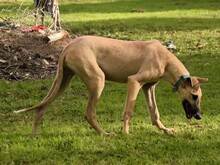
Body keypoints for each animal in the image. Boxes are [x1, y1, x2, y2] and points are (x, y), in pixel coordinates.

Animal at [13, 36, 208, 135]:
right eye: (194, 96)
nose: (199, 116)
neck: (165, 59)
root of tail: (68, 45)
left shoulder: (148, 87)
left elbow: (155, 113)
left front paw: (165, 130)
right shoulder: (134, 82)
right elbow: (128, 111)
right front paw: (126, 134)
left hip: (63, 82)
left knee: (41, 107)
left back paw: (34, 136)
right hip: (97, 80)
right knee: (89, 114)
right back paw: (105, 134)